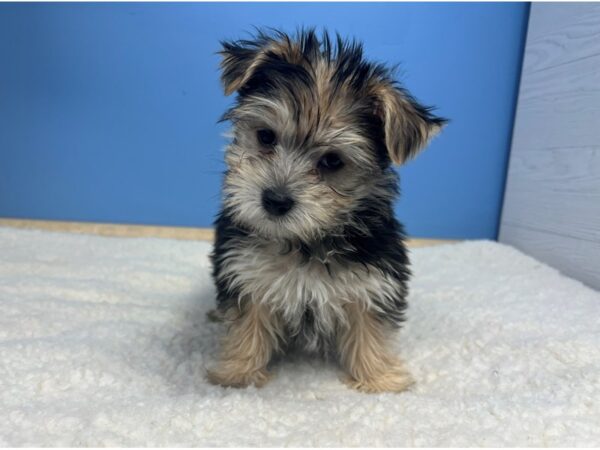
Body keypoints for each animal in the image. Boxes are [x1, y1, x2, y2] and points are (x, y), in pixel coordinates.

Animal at [206, 29, 446, 392]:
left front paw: (380, 379)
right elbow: (248, 322)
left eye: (332, 161)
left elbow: (369, 328)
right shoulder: (245, 272)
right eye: (266, 137)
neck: (305, 240)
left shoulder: (373, 281)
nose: (275, 200)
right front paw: (238, 375)